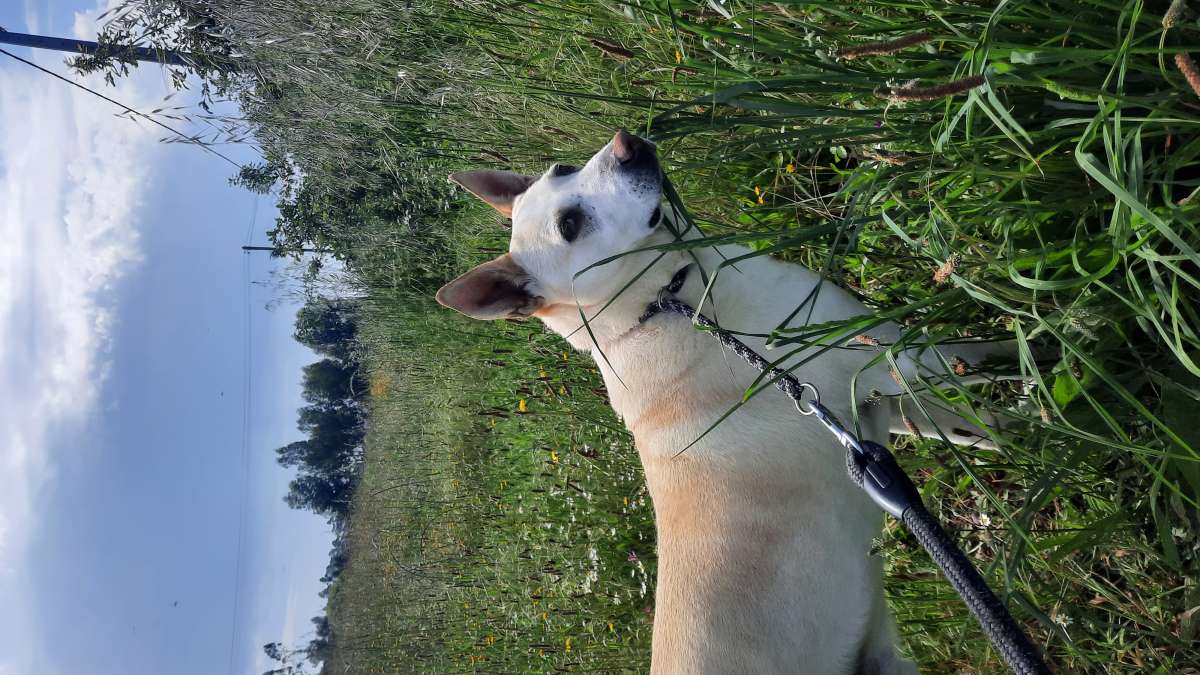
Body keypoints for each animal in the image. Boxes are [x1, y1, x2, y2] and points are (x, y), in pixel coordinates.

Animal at [436, 131, 1008, 672]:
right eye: (571, 225)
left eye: (562, 169)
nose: (625, 145)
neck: (665, 303)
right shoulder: (889, 354)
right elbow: (980, 360)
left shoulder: (881, 401)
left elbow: (977, 423)